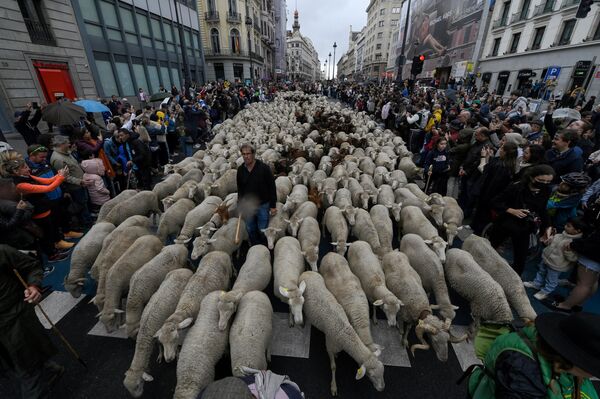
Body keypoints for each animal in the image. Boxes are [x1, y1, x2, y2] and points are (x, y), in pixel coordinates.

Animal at [123, 268, 193, 398]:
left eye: (138, 385)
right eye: (128, 389)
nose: (137, 397)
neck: (145, 331)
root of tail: (184, 269)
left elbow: (162, 345)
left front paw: (163, 355)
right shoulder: (156, 337)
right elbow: (160, 345)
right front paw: (160, 355)